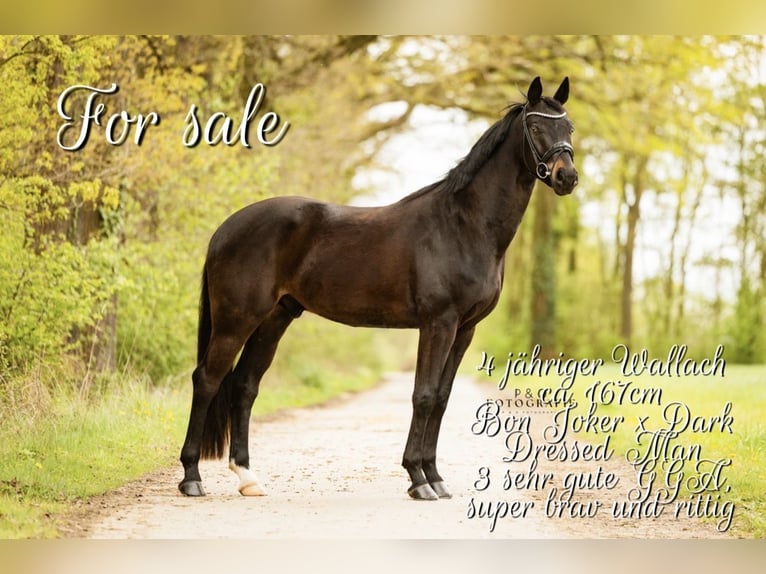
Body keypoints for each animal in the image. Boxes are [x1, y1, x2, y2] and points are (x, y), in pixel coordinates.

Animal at [178, 76, 578, 500]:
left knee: (244, 386)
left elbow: (441, 399)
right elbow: (423, 395)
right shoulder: (438, 324)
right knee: (207, 380)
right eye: (535, 126)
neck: (464, 225)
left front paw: (435, 477)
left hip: (273, 320)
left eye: (568, 128)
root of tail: (225, 229)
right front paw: (418, 479)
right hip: (236, 321)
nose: (566, 177)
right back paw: (192, 477)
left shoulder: (465, 330)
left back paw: (248, 478)